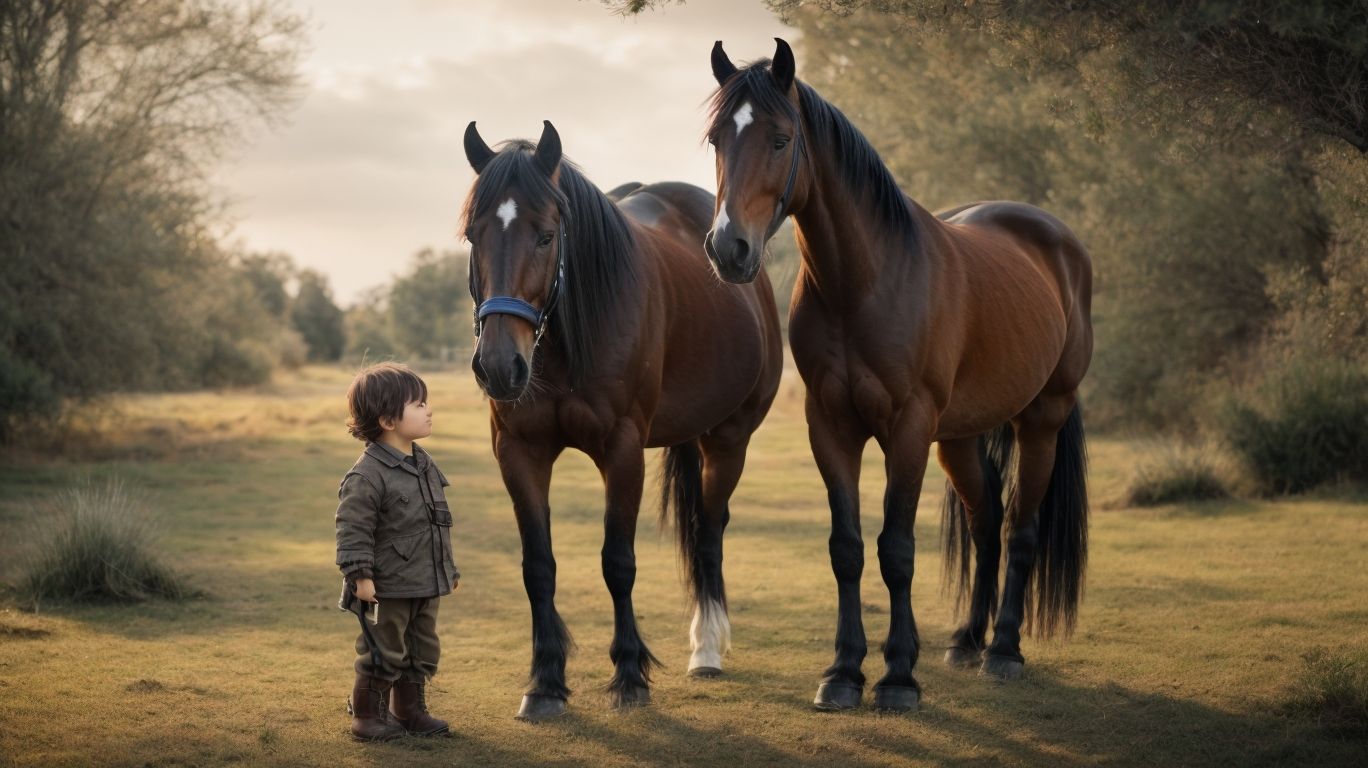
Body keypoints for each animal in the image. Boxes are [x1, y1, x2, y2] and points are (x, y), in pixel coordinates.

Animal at [460, 120, 783, 720]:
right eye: (474, 235)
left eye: (546, 236)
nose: (498, 366)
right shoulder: (518, 450)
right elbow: (538, 566)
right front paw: (545, 682)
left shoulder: (623, 449)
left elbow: (618, 562)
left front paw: (630, 675)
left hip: (729, 439)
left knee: (709, 532)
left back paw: (707, 648)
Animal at [702, 39, 1093, 713]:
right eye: (716, 139)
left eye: (780, 139)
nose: (729, 249)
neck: (865, 282)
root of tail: (1058, 241)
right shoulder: (830, 426)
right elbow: (848, 548)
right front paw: (843, 672)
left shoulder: (908, 430)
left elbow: (897, 549)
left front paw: (898, 676)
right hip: (959, 438)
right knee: (986, 523)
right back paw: (966, 641)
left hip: (1041, 419)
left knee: (1020, 529)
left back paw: (1004, 650)